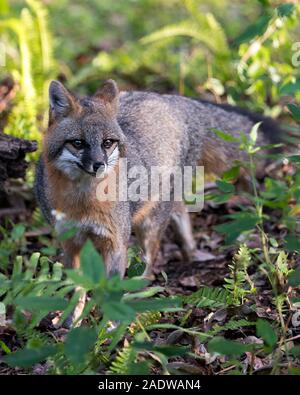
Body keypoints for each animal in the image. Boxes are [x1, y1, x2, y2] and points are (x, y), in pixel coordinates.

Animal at [34, 79, 282, 324]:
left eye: (107, 143)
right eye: (77, 143)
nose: (99, 165)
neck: (83, 202)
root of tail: (172, 100)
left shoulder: (116, 242)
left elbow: (110, 291)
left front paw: (110, 326)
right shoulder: (70, 243)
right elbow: (76, 290)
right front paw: (72, 322)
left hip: (150, 223)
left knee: (150, 262)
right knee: (180, 212)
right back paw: (190, 251)